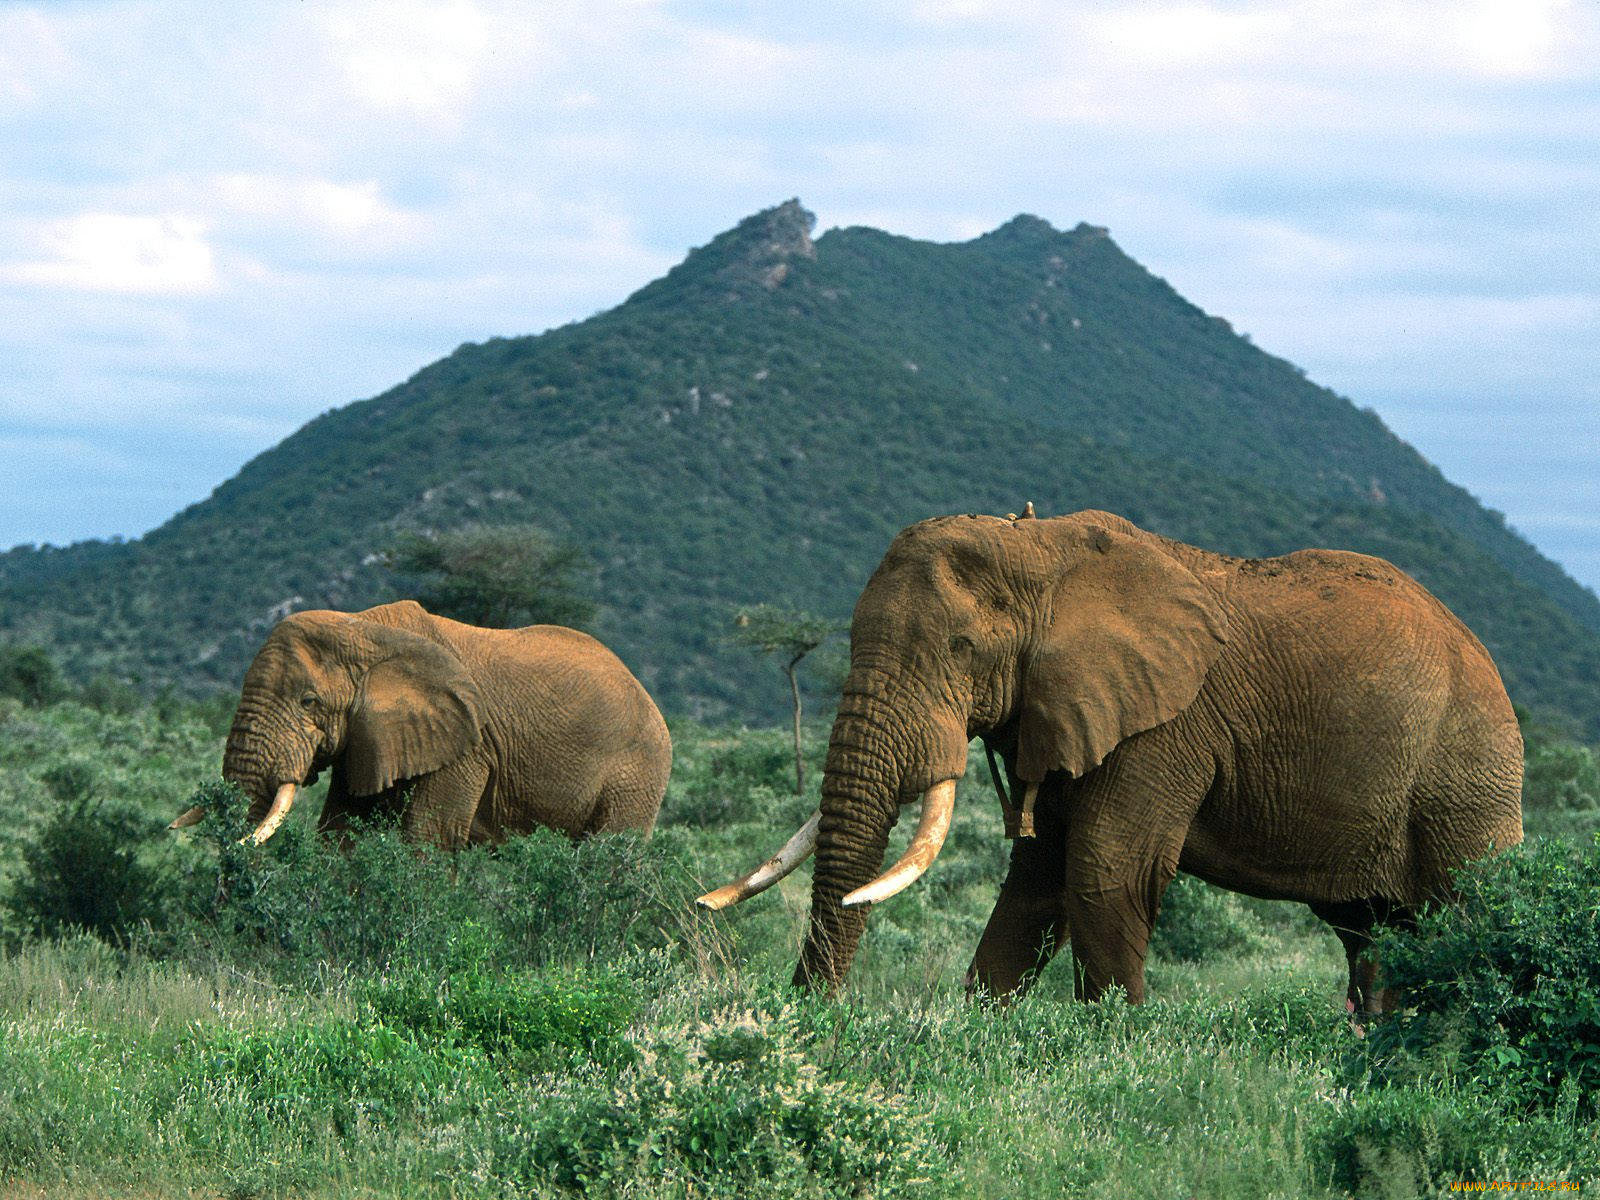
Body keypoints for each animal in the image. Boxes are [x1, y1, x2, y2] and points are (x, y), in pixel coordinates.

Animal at [171, 600, 671, 848]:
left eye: (308, 701)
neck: (363, 629)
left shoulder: (467, 745)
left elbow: (428, 836)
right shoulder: (370, 737)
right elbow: (340, 831)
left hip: (639, 770)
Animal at [701, 508, 1523, 1012]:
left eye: (962, 649)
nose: (809, 1017)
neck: (1043, 551)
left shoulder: (1166, 723)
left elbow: (1103, 870)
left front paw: (1113, 1044)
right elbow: (1036, 883)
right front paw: (981, 1031)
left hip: (1467, 772)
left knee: (1468, 912)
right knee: (1374, 934)